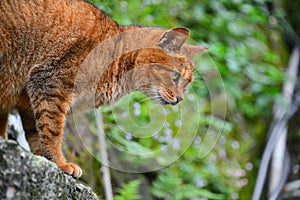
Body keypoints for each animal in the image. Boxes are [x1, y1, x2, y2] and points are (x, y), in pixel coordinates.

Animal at [0, 0, 206, 178]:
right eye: (175, 76)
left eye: (187, 84)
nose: (180, 98)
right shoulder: (51, 85)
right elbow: (52, 131)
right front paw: (60, 163)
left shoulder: (29, 100)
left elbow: (36, 134)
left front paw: (44, 159)